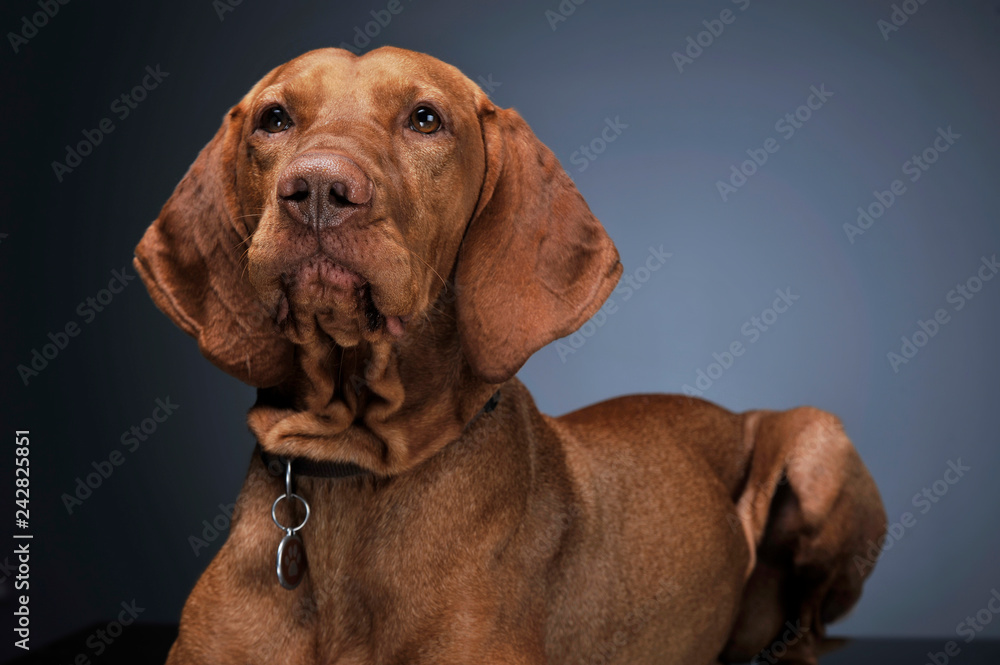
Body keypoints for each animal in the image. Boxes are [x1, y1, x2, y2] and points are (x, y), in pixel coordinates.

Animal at [133, 46, 884, 664]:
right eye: (275, 117)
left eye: (425, 119)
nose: (317, 189)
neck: (353, 463)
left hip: (819, 441)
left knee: (809, 628)